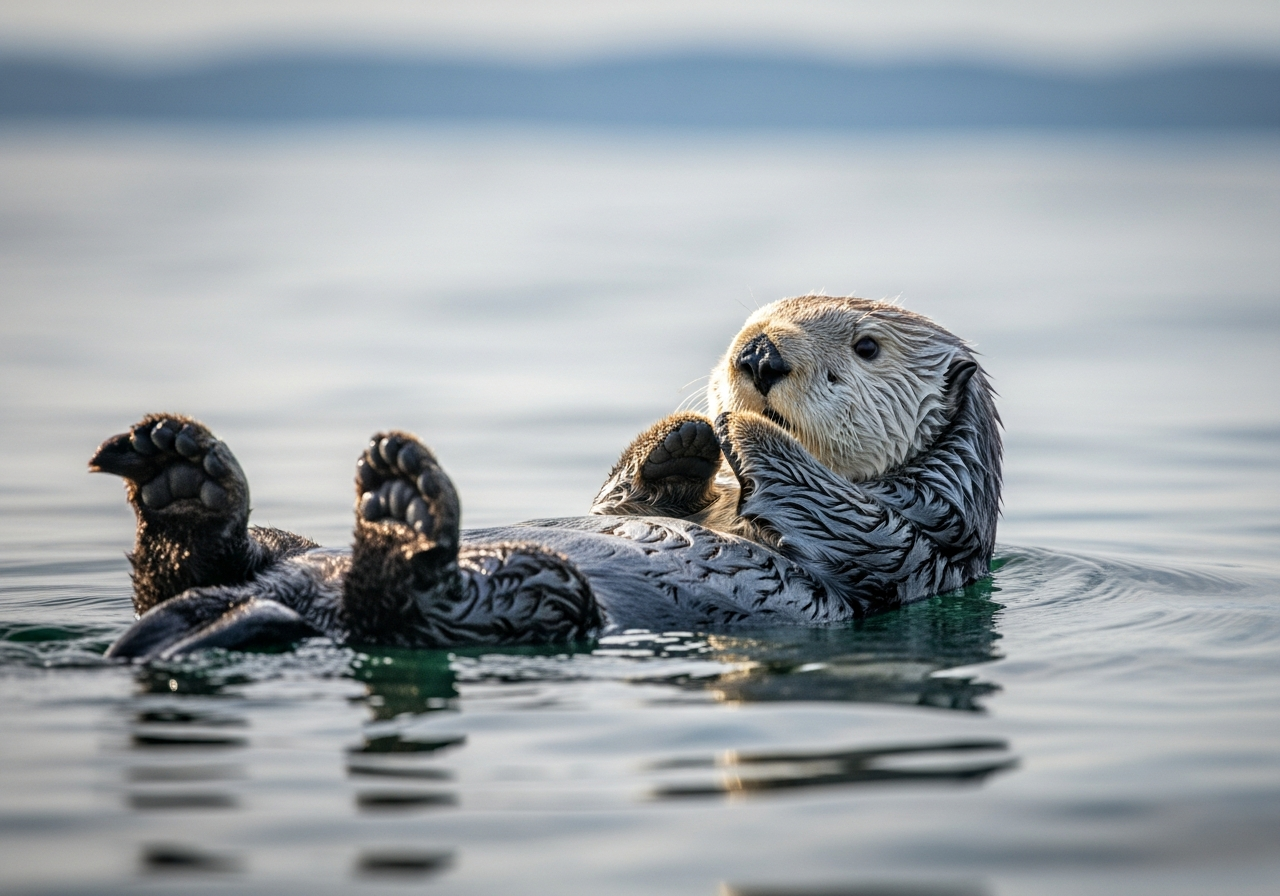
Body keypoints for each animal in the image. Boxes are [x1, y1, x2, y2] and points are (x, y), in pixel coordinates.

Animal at [93, 296, 1001, 661]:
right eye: (753, 319)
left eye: (867, 347)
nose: (757, 355)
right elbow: (626, 495)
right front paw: (685, 434)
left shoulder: (922, 539)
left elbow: (857, 524)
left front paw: (742, 428)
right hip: (278, 554)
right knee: (207, 562)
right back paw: (182, 474)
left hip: (544, 595)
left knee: (402, 604)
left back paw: (403, 507)